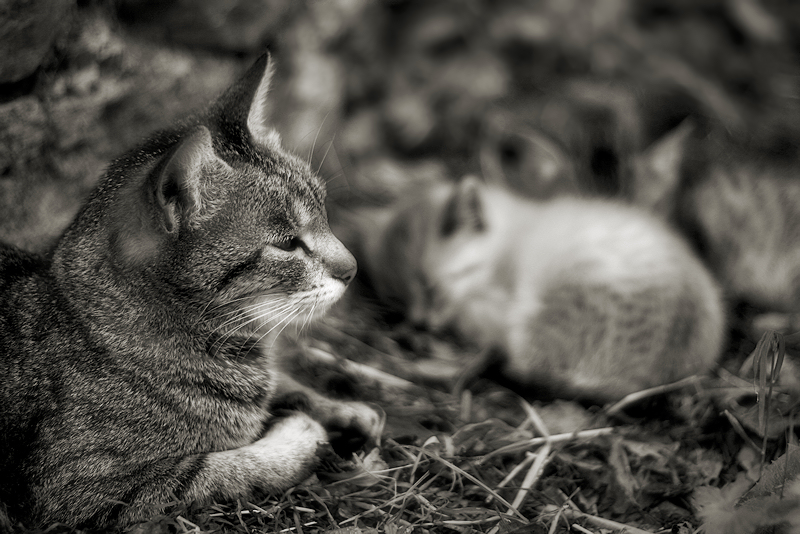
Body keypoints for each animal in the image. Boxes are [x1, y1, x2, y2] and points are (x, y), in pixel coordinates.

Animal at [0, 53, 384, 532]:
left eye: (324, 212)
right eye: (287, 244)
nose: (353, 269)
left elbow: (289, 386)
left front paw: (341, 409)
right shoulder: (74, 492)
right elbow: (221, 469)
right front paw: (301, 434)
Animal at [362, 178, 724, 404]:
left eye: (430, 288)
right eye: (396, 298)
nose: (421, 323)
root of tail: (655, 378)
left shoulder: (492, 307)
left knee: (514, 362)